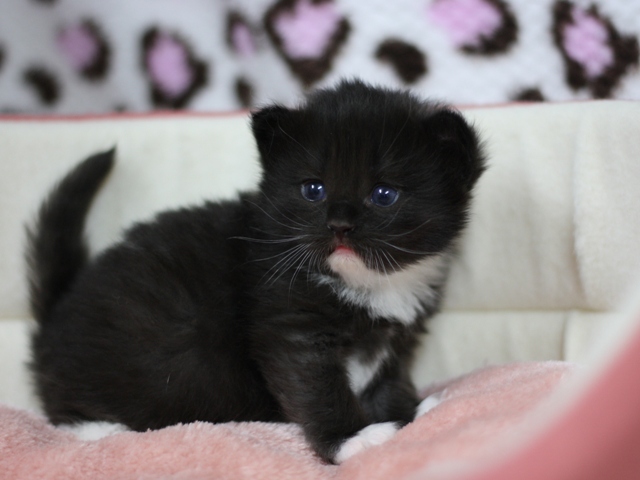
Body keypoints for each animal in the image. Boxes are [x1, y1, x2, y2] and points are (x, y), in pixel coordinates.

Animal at [25, 79, 484, 464]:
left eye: (384, 194)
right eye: (313, 190)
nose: (339, 225)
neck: (369, 282)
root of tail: (57, 308)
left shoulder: (399, 338)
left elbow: (389, 379)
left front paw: (409, 411)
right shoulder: (290, 325)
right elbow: (316, 388)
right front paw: (353, 438)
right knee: (63, 409)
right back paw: (102, 428)